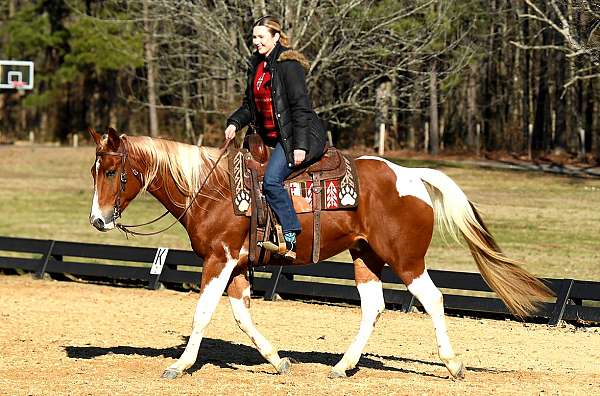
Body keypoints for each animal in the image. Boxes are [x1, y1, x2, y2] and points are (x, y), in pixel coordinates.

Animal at [88, 127, 552, 380]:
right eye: (94, 171)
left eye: (111, 171)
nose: (97, 220)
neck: (211, 189)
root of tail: (410, 176)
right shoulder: (236, 266)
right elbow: (241, 317)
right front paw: (278, 361)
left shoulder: (219, 260)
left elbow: (202, 313)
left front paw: (179, 366)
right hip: (366, 257)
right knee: (373, 307)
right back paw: (344, 365)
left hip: (406, 260)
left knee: (433, 299)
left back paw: (453, 365)